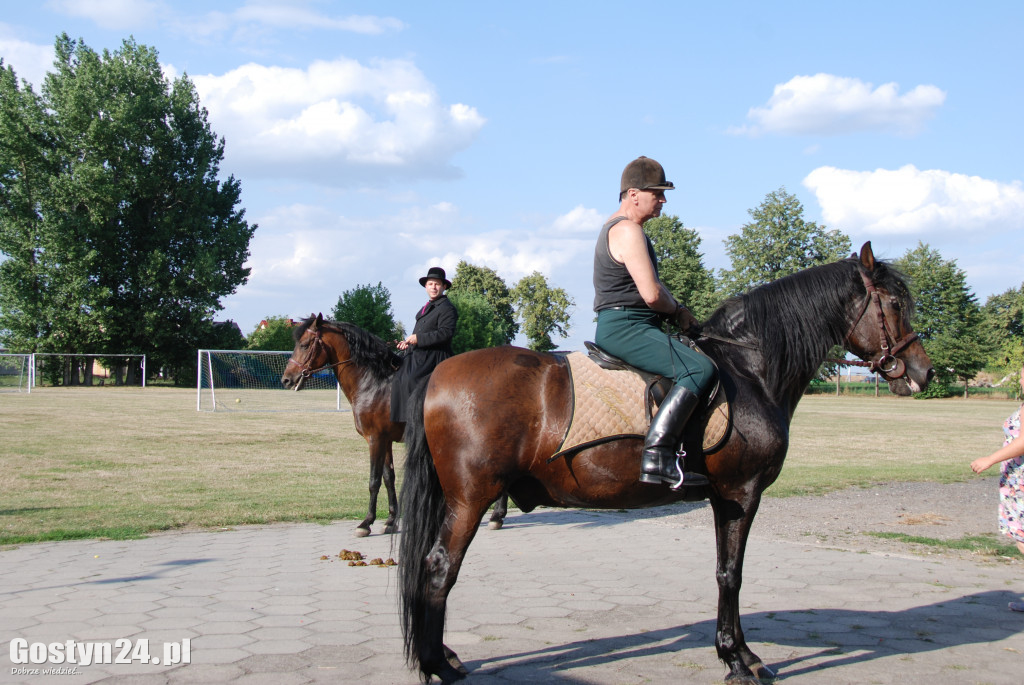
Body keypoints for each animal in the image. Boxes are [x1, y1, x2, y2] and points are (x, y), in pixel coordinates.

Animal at [280, 313, 507, 532]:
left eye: (305, 344)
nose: (286, 380)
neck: (373, 384)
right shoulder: (385, 440)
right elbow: (389, 478)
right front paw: (390, 520)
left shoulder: (375, 439)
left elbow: (374, 480)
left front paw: (366, 523)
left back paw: (497, 516)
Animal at [397, 242, 937, 679]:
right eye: (894, 304)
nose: (923, 372)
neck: (749, 368)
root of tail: (441, 374)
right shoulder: (741, 494)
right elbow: (731, 573)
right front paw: (737, 660)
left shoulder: (725, 498)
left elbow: (726, 570)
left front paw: (739, 652)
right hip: (470, 499)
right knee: (439, 568)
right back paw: (436, 665)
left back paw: (443, 657)